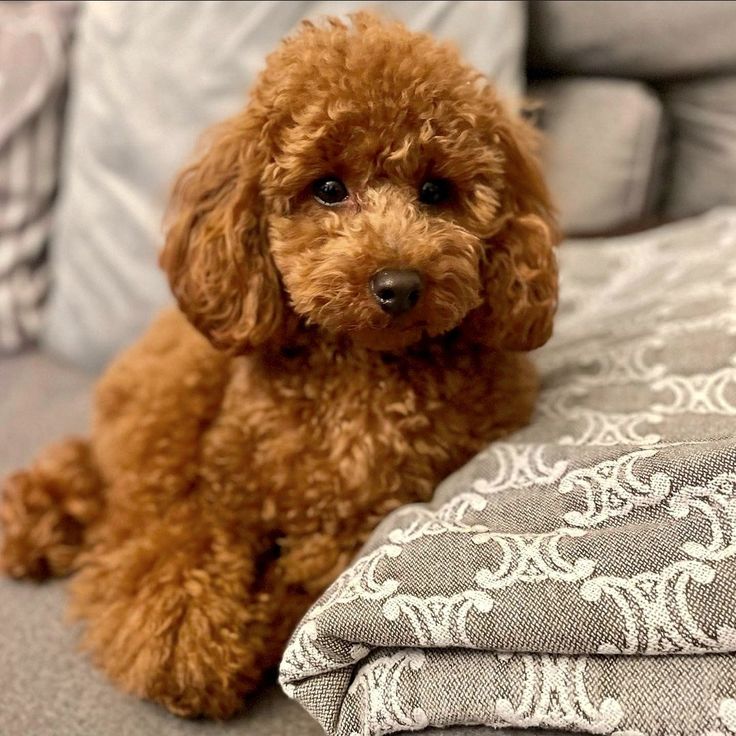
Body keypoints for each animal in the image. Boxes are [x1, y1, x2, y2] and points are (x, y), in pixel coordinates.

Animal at [0, 12, 556, 720]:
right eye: (328, 189)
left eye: (436, 191)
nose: (398, 284)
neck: (362, 376)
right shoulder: (220, 487)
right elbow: (184, 546)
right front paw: (185, 644)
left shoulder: (358, 523)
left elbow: (299, 582)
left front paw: (252, 630)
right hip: (172, 403)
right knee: (117, 483)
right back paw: (40, 523)